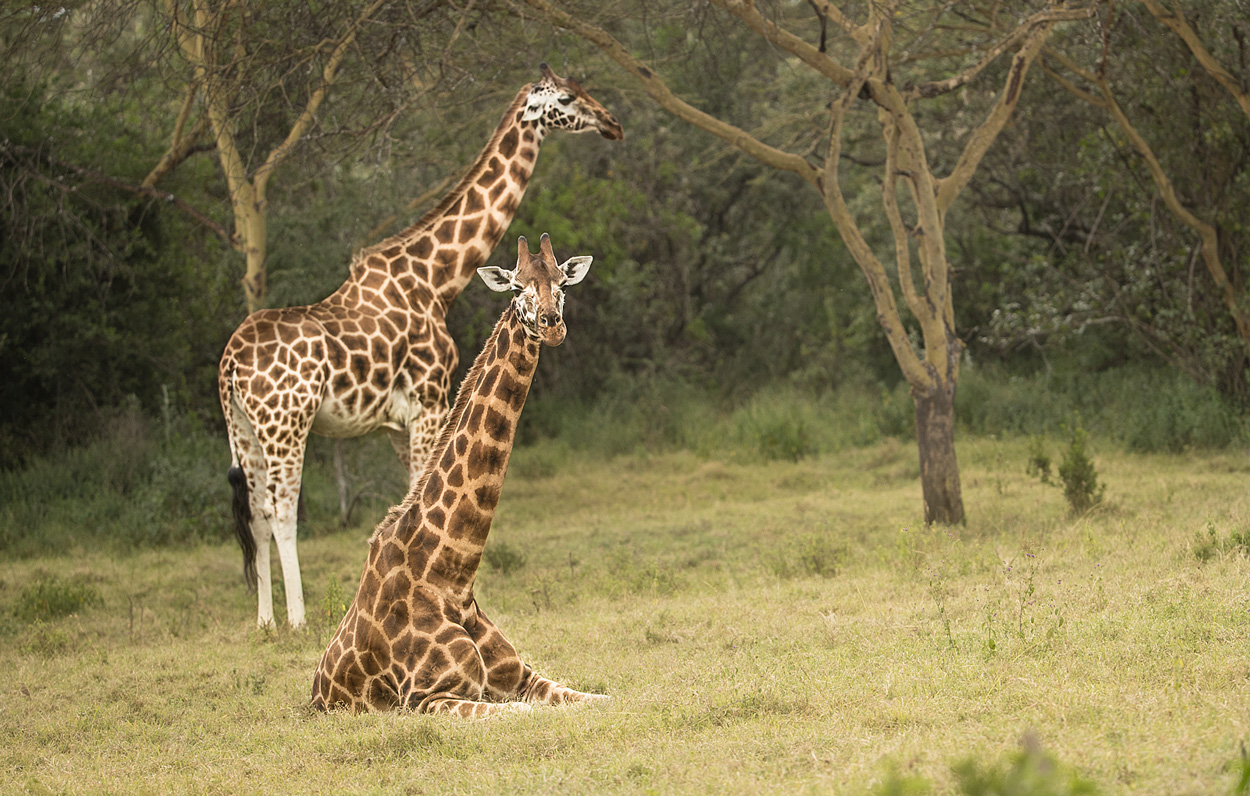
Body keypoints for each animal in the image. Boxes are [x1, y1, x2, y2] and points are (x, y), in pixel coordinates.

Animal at [217, 63, 622, 627]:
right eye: (566, 99)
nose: (611, 124)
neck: (436, 277)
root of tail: (229, 363)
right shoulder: (429, 398)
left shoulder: (396, 420)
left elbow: (410, 490)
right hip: (286, 424)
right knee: (280, 509)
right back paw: (298, 619)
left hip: (243, 429)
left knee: (253, 511)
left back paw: (266, 621)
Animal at [312, 234, 605, 714]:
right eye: (516, 287)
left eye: (563, 283)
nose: (552, 325)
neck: (452, 580)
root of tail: (314, 689)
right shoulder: (428, 697)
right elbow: (521, 714)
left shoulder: (525, 677)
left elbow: (603, 697)